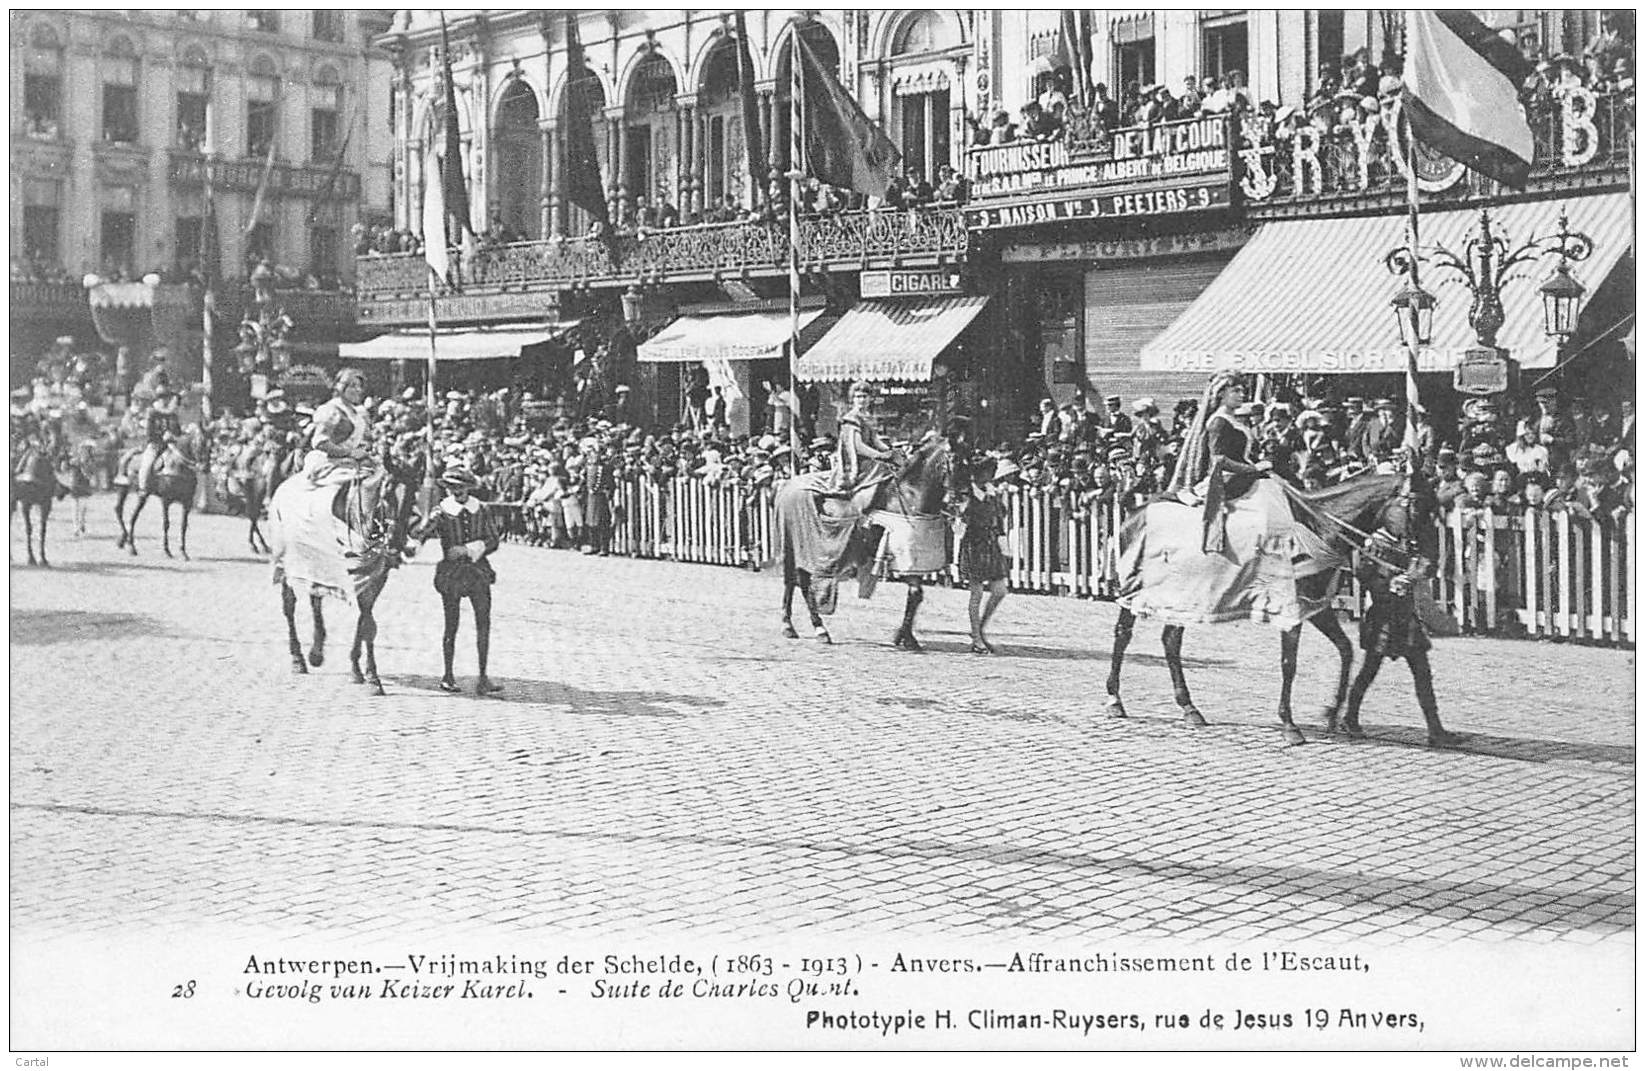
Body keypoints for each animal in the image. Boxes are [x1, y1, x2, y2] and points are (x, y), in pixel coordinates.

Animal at [114, 427, 203, 562]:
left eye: (210, 442)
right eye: (196, 443)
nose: (204, 466)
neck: (178, 466)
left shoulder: (187, 502)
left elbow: (183, 526)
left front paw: (183, 552)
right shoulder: (166, 500)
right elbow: (166, 524)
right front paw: (167, 551)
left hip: (133, 492)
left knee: (125, 512)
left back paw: (123, 541)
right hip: (131, 491)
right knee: (127, 514)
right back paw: (131, 547)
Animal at [269, 454, 424, 694]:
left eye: (412, 496)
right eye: (387, 492)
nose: (395, 544)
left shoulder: (376, 578)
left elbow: (366, 623)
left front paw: (365, 673)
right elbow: (365, 621)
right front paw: (368, 675)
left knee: (315, 599)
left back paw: (316, 652)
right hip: (288, 564)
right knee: (289, 605)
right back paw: (298, 658)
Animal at [773, 434, 960, 648]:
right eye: (953, 462)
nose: (957, 501)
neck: (909, 496)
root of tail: (786, 486)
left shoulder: (915, 562)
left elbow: (916, 594)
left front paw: (906, 637)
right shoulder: (900, 557)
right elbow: (915, 592)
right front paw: (904, 637)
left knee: (798, 584)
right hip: (795, 549)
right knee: (796, 583)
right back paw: (807, 628)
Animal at [1105, 463, 1441, 750]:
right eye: (1417, 507)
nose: (1428, 566)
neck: (1312, 528)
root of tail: (1133, 514)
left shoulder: (1316, 607)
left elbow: (1345, 650)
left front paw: (1333, 713)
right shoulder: (1290, 612)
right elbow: (1289, 665)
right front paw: (1290, 725)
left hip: (1184, 598)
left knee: (1171, 642)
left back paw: (1189, 708)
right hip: (1135, 592)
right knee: (1123, 635)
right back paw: (1115, 699)